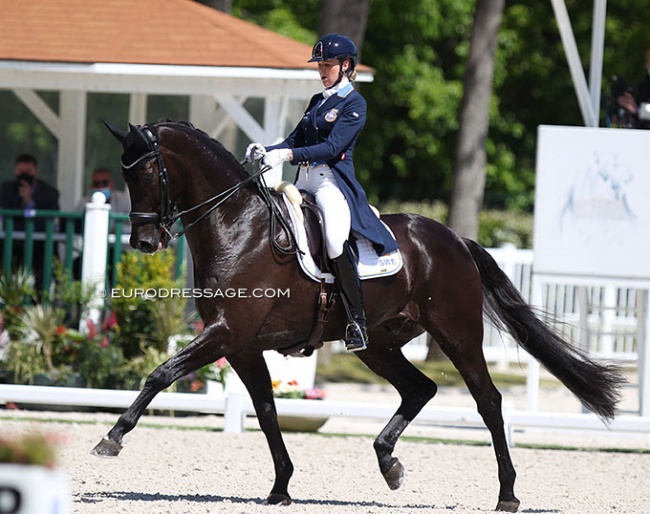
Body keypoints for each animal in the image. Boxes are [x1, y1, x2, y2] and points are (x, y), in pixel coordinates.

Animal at [92, 119, 624, 508]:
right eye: (125, 175)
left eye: (145, 174)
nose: (144, 242)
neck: (237, 225)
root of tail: (455, 239)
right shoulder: (241, 345)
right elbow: (265, 411)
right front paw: (281, 487)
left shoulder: (226, 334)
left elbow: (160, 374)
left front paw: (111, 439)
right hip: (379, 343)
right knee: (419, 389)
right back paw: (389, 464)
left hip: (457, 334)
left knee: (488, 401)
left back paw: (507, 493)